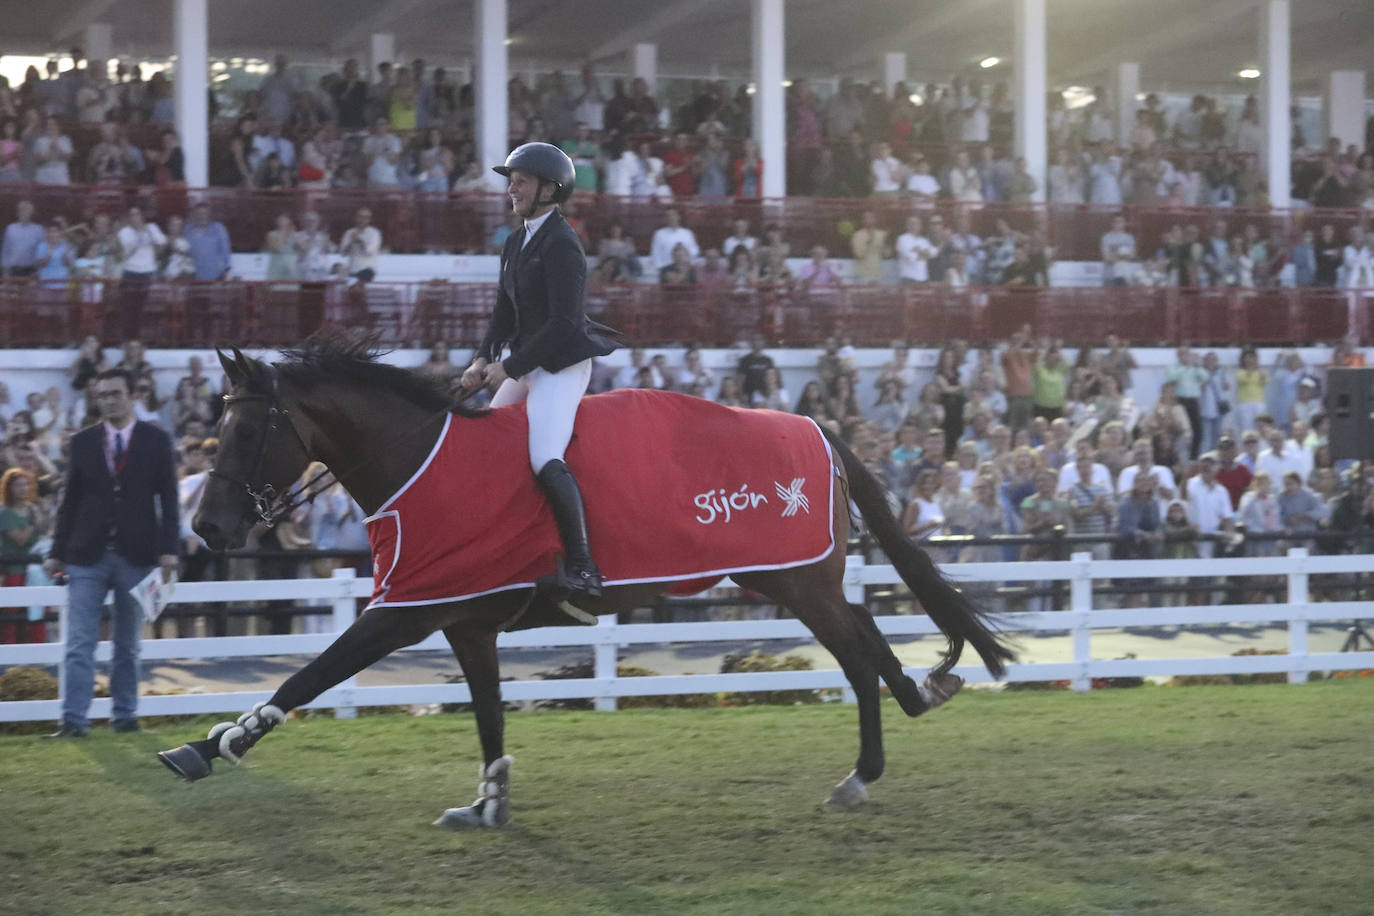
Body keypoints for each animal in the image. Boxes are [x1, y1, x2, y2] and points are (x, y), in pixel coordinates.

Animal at [155, 335, 1016, 823]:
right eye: (216, 426)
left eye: (249, 430)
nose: (208, 532)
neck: (417, 460)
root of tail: (822, 427)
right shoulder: (464, 622)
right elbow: (489, 718)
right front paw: (488, 803)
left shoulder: (404, 610)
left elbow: (309, 676)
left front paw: (209, 746)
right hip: (798, 581)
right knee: (863, 639)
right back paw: (909, 709)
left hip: (797, 581)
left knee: (857, 651)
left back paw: (865, 770)